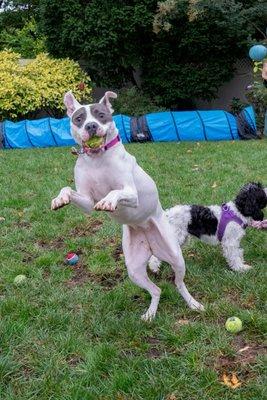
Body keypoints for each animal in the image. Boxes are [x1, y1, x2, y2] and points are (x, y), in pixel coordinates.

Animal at [50, 91, 205, 322]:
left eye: (101, 115)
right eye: (79, 119)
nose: (91, 126)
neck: (97, 159)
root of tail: (151, 244)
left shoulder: (131, 193)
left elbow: (115, 192)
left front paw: (108, 201)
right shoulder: (86, 202)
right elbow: (67, 189)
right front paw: (60, 199)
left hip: (177, 258)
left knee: (179, 283)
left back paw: (193, 304)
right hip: (133, 269)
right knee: (156, 290)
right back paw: (150, 314)